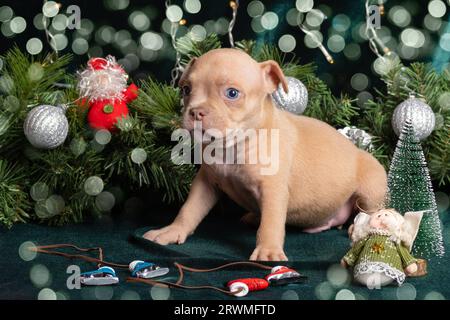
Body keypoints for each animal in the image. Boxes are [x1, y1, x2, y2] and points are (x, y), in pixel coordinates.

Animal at [145, 48, 386, 262]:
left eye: (232, 93)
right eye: (186, 90)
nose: (196, 112)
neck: (233, 146)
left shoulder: (273, 191)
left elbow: (271, 223)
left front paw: (268, 250)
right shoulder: (205, 183)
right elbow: (189, 209)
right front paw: (172, 230)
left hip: (371, 187)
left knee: (370, 211)